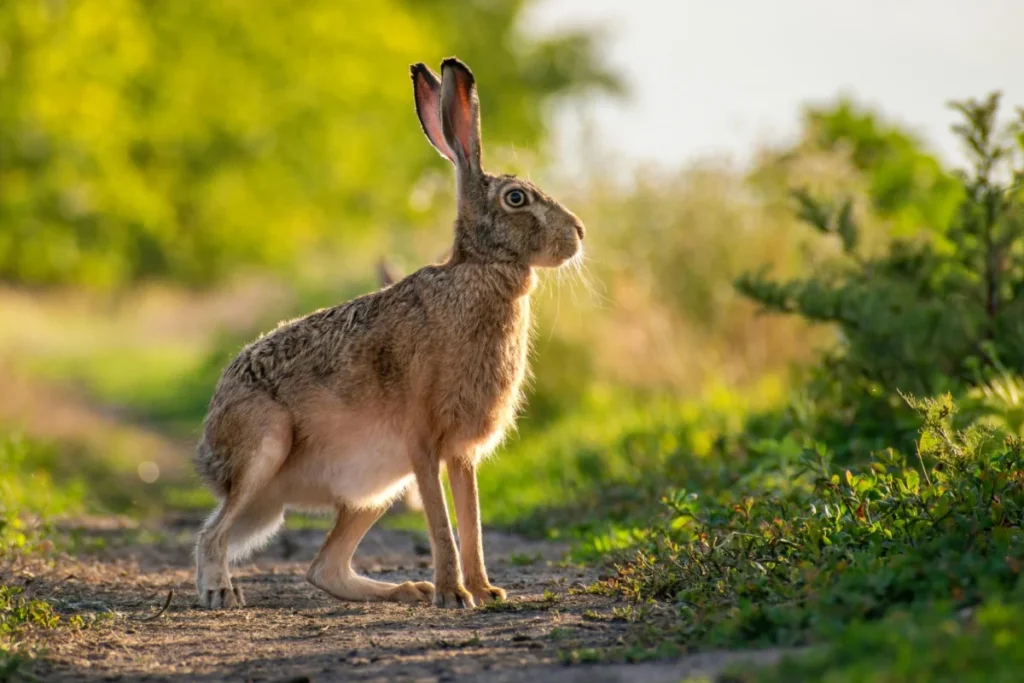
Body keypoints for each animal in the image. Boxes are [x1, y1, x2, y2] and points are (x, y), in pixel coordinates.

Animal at [193, 57, 586, 610]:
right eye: (516, 198)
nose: (578, 235)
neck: (479, 270)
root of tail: (210, 455)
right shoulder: (423, 443)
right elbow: (443, 525)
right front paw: (454, 595)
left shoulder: (460, 454)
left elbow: (472, 522)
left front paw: (485, 591)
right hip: (265, 448)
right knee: (214, 533)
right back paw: (220, 590)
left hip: (376, 489)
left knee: (324, 568)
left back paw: (407, 589)